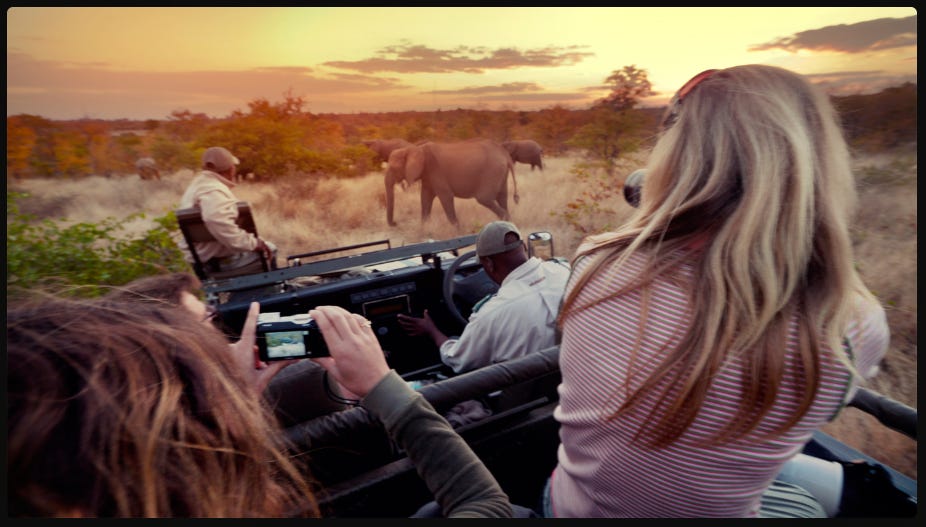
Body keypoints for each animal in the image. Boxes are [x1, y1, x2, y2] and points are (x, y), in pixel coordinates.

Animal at [382, 140, 520, 229]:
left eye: (394, 169)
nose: (395, 223)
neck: (415, 149)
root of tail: (504, 154)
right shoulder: (427, 175)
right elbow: (425, 198)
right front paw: (424, 228)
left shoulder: (436, 170)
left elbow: (446, 196)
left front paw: (458, 230)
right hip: (501, 173)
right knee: (502, 197)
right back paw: (508, 224)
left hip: (492, 171)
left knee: (484, 198)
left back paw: (505, 221)